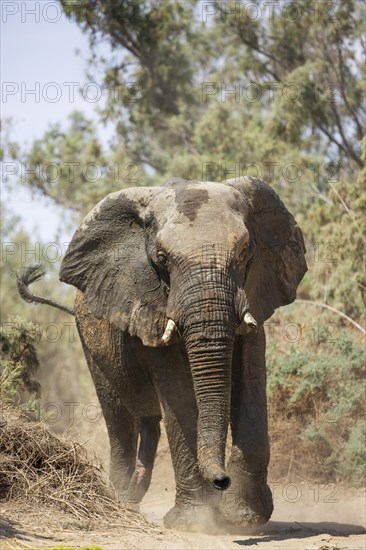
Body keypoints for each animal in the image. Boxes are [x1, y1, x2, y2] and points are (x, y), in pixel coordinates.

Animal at [18, 177, 308, 532]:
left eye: (244, 252)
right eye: (162, 258)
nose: (221, 481)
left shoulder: (255, 291)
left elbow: (250, 379)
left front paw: (243, 518)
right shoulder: (148, 303)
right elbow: (179, 394)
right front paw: (195, 522)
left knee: (147, 417)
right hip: (90, 337)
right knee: (119, 418)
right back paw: (121, 500)